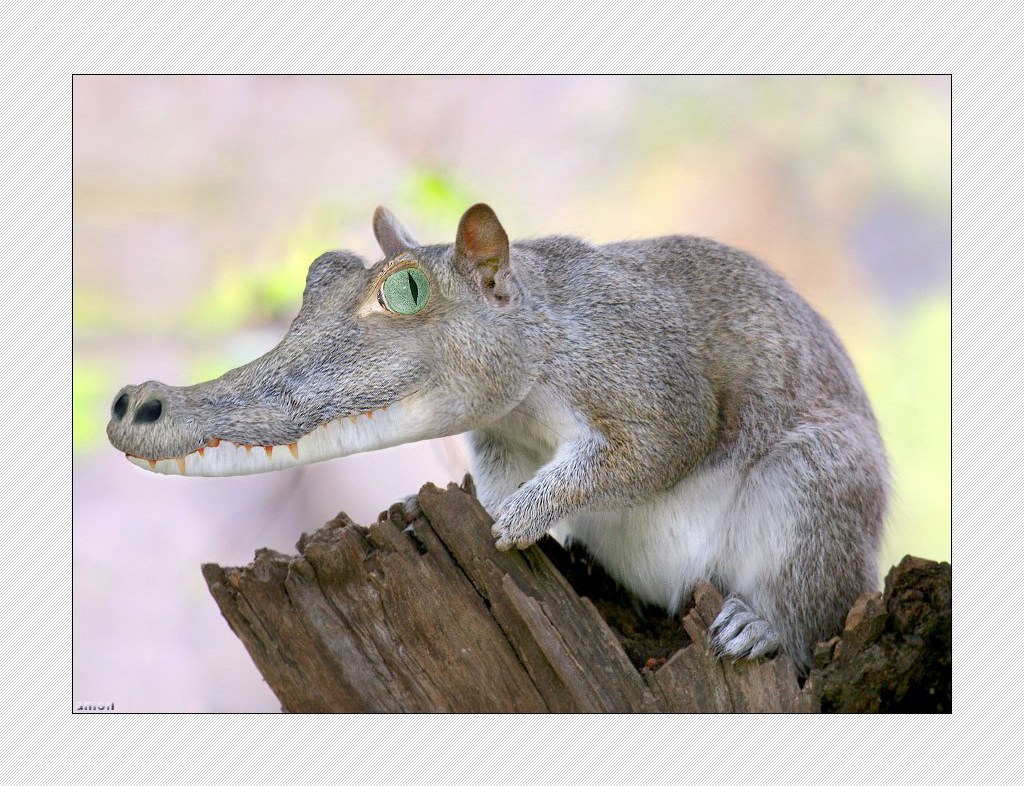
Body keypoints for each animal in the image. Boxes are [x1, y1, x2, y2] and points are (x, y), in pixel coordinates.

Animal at [107, 203, 888, 672]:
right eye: (320, 272)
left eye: (408, 292)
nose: (134, 405)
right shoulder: (500, 437)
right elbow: (498, 479)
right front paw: (480, 510)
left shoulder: (646, 375)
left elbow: (657, 447)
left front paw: (523, 515)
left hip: (817, 488)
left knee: (812, 599)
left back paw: (763, 626)